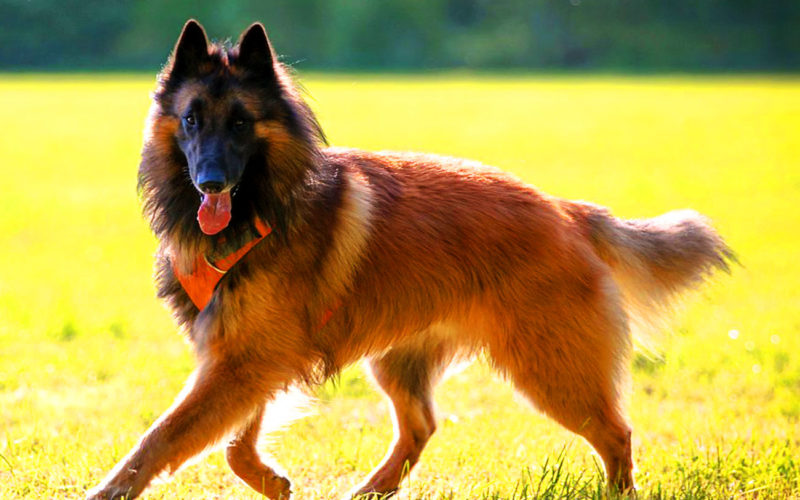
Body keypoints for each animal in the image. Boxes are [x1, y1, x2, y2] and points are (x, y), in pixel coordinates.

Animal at [86, 19, 732, 500]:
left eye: (242, 122)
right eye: (191, 120)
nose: (211, 182)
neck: (263, 207)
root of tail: (565, 211)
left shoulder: (245, 362)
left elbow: (163, 439)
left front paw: (111, 490)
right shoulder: (244, 357)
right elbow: (234, 443)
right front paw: (272, 482)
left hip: (551, 369)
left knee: (616, 432)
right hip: (402, 361)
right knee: (421, 426)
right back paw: (372, 489)